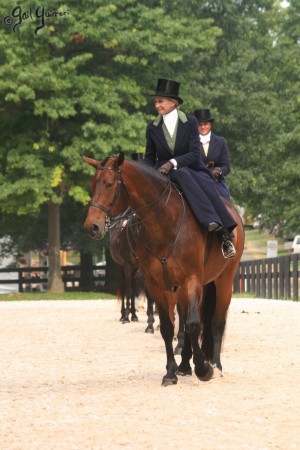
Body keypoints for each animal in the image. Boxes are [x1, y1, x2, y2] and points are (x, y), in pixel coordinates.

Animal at [82, 153, 244, 384]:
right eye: (91, 185)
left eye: (109, 184)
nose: (92, 226)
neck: (164, 223)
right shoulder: (156, 283)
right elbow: (168, 326)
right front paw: (171, 372)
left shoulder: (193, 280)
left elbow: (193, 324)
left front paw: (203, 369)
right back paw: (185, 364)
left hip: (223, 281)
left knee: (216, 322)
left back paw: (215, 365)